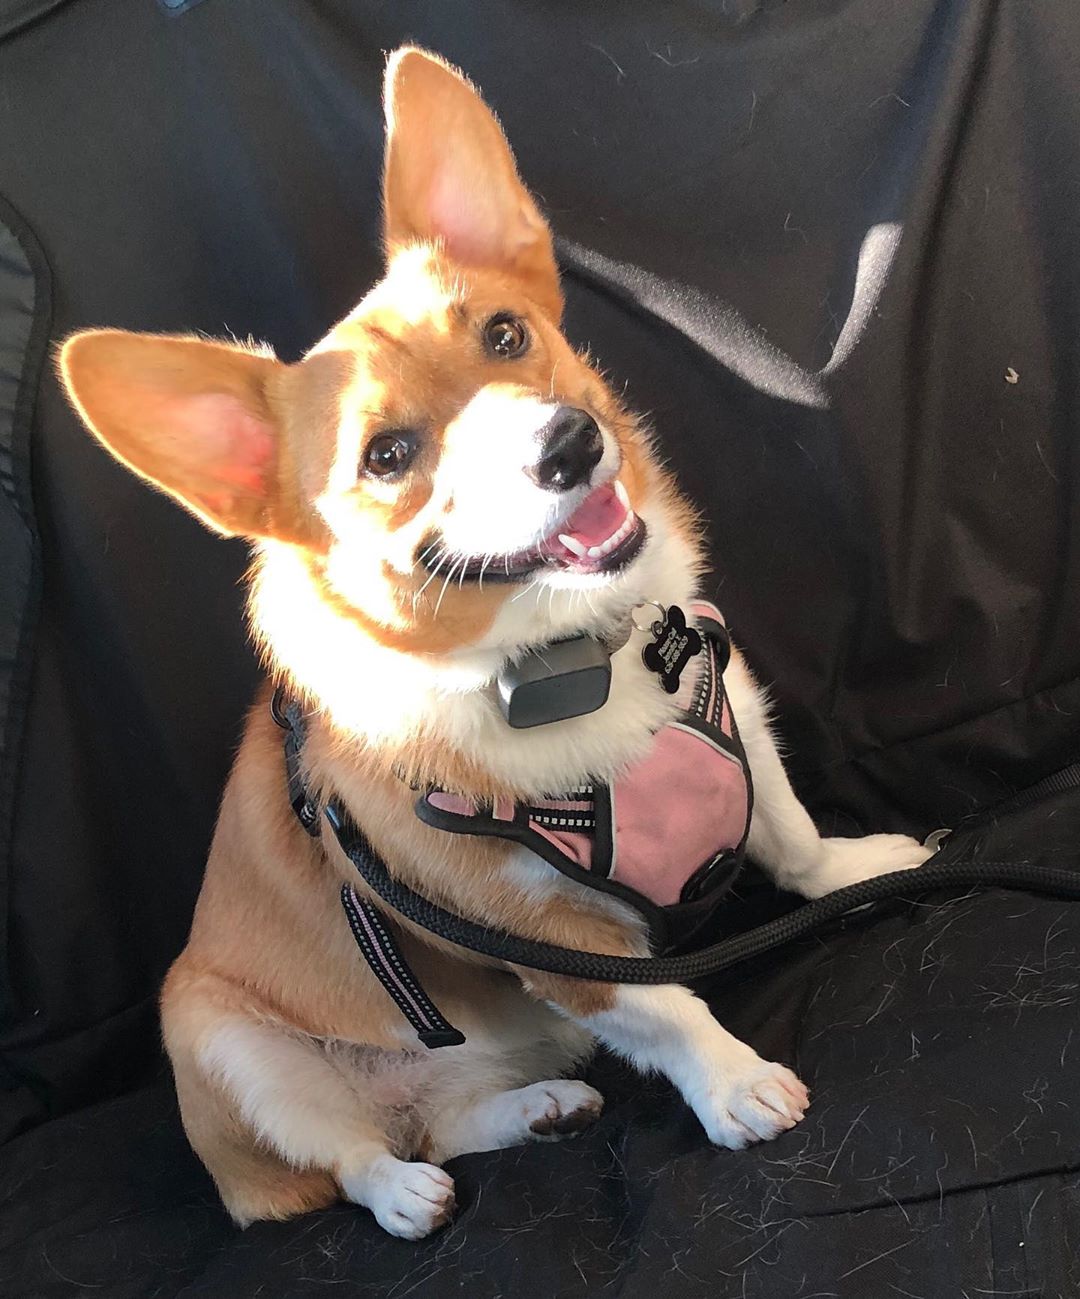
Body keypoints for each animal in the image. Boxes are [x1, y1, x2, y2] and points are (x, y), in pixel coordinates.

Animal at [59, 45, 935, 1236]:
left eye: (507, 335)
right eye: (387, 455)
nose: (570, 443)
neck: (570, 665)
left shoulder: (741, 720)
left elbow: (792, 837)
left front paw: (860, 867)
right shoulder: (561, 948)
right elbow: (671, 1012)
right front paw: (738, 1086)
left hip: (481, 1062)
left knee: (445, 1117)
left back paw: (541, 1109)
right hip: (221, 1041)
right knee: (350, 1155)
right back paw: (405, 1195)